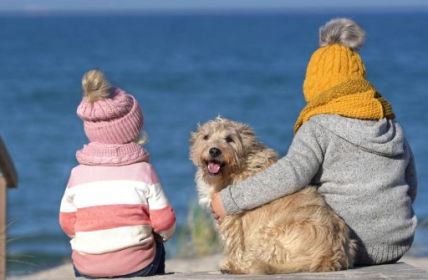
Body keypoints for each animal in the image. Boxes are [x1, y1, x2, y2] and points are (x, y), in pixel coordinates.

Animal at [190, 117, 354, 274]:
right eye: (206, 137)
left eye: (229, 139)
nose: (214, 151)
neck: (237, 168)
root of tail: (327, 255)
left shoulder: (231, 220)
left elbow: (234, 245)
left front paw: (233, 262)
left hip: (268, 232)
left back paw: (238, 267)